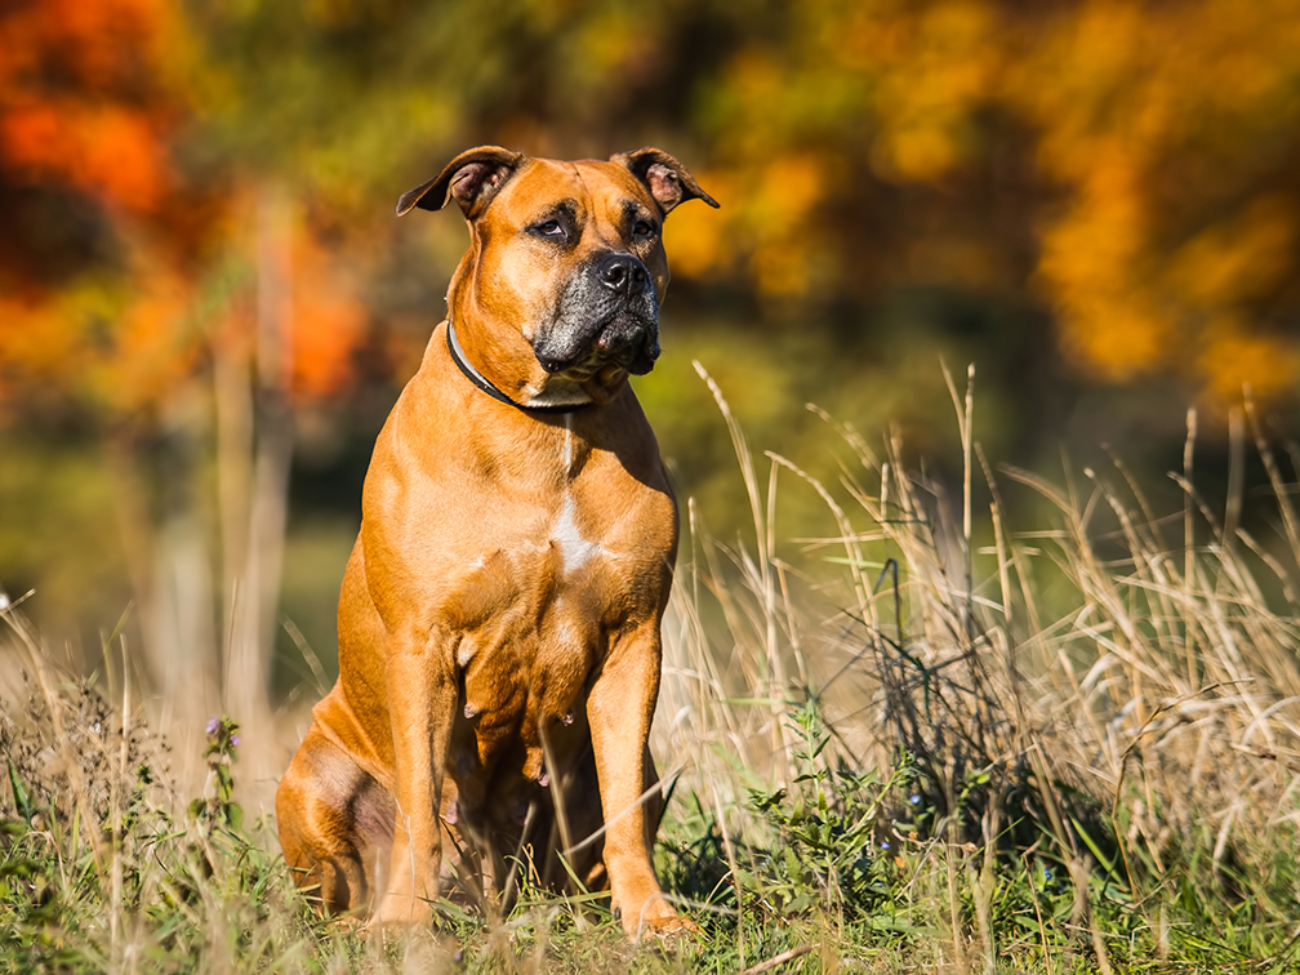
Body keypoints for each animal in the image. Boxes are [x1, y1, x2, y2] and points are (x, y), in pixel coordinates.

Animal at [276, 144, 722, 941]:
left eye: (644, 227)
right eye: (551, 227)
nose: (626, 273)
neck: (547, 424)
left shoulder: (635, 641)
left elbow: (625, 816)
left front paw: (652, 918)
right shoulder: (422, 648)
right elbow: (422, 806)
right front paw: (404, 923)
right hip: (312, 778)